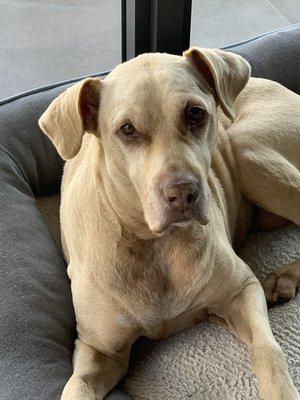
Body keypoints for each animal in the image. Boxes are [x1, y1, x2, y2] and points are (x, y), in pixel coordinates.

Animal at [38, 47, 300, 400]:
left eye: (195, 114)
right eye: (127, 129)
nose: (183, 193)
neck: (154, 245)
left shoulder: (241, 291)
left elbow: (267, 350)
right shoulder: (99, 353)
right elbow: (78, 387)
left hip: (246, 147)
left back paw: (285, 277)